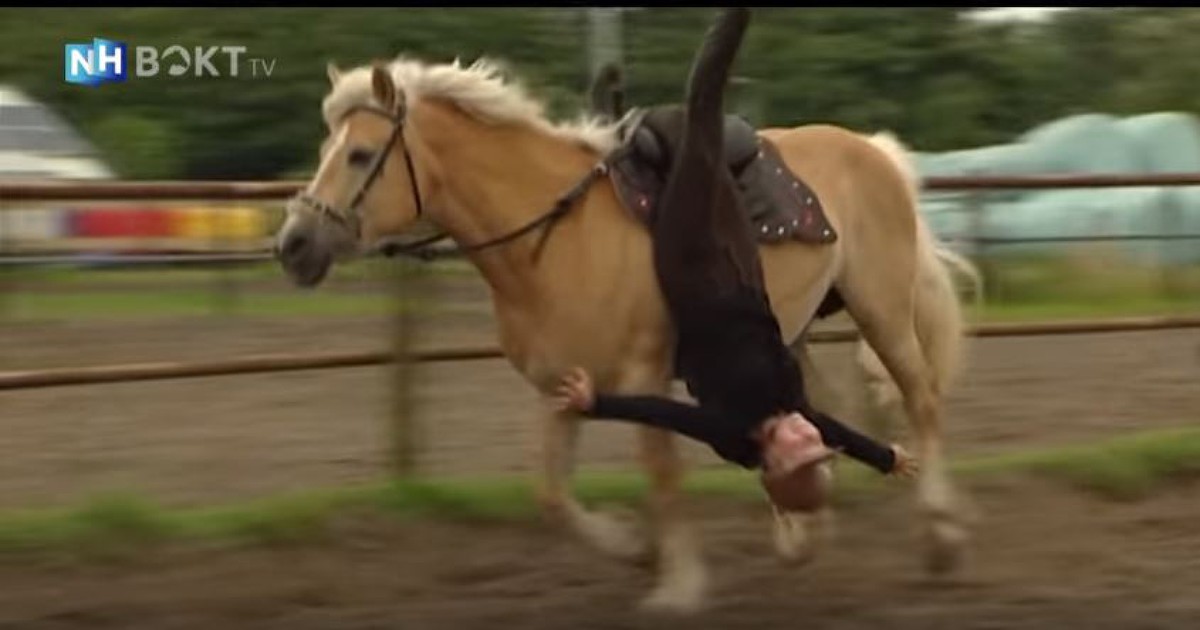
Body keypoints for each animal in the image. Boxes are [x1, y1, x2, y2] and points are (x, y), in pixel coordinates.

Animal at [274, 54, 978, 613]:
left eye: (361, 154)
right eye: (324, 152)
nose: (292, 246)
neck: (554, 236)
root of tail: (875, 150)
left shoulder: (644, 376)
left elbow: (660, 473)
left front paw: (679, 584)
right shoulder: (563, 385)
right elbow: (553, 495)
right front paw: (637, 548)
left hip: (881, 308)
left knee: (922, 399)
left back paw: (942, 536)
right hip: (797, 330)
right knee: (824, 408)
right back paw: (805, 533)